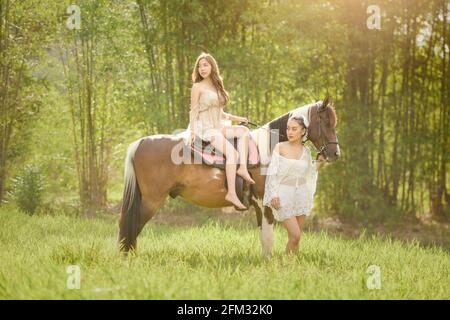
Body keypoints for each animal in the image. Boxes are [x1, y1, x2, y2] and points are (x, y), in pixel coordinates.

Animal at [118, 95, 340, 258]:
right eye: (326, 122)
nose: (335, 153)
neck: (268, 149)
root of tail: (141, 142)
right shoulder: (265, 203)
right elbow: (268, 238)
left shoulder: (259, 206)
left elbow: (263, 238)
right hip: (151, 200)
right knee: (131, 226)